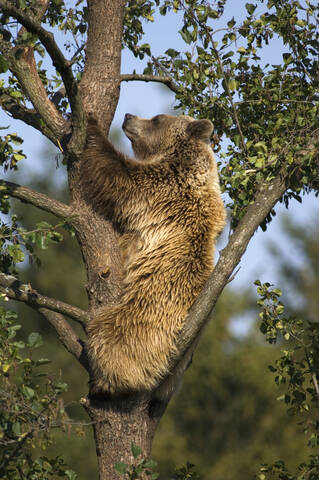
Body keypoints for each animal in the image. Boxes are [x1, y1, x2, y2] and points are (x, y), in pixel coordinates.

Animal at [83, 112, 228, 394]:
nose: (128, 116)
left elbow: (120, 176)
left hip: (146, 317)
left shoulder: (163, 187)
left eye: (157, 118)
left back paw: (106, 379)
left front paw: (91, 124)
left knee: (110, 337)